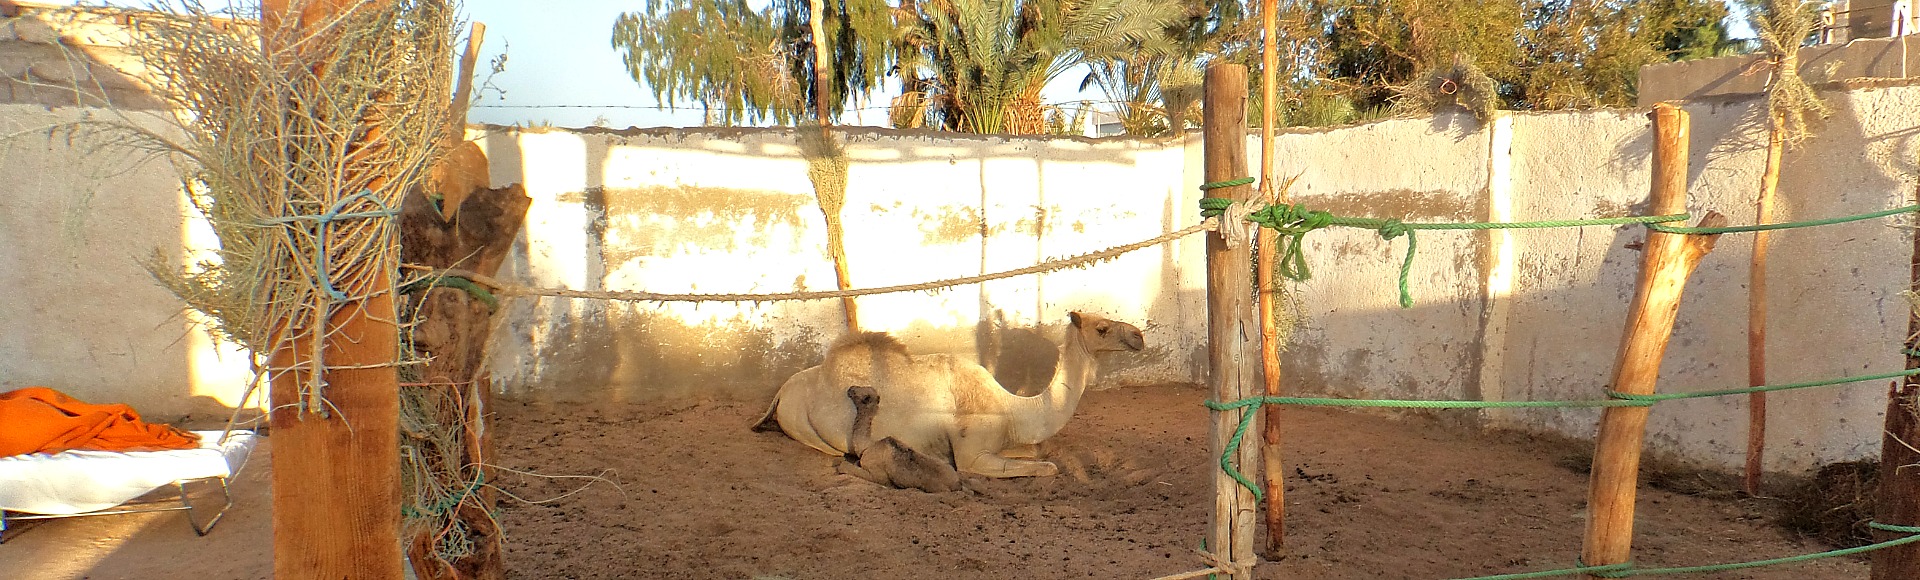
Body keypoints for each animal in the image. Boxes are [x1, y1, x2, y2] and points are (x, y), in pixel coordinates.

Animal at [748, 311, 1136, 478]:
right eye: (1102, 328)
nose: (1138, 335)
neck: (1012, 410)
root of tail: (781, 393)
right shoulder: (972, 454)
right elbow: (1046, 468)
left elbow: (1040, 453)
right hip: (804, 427)